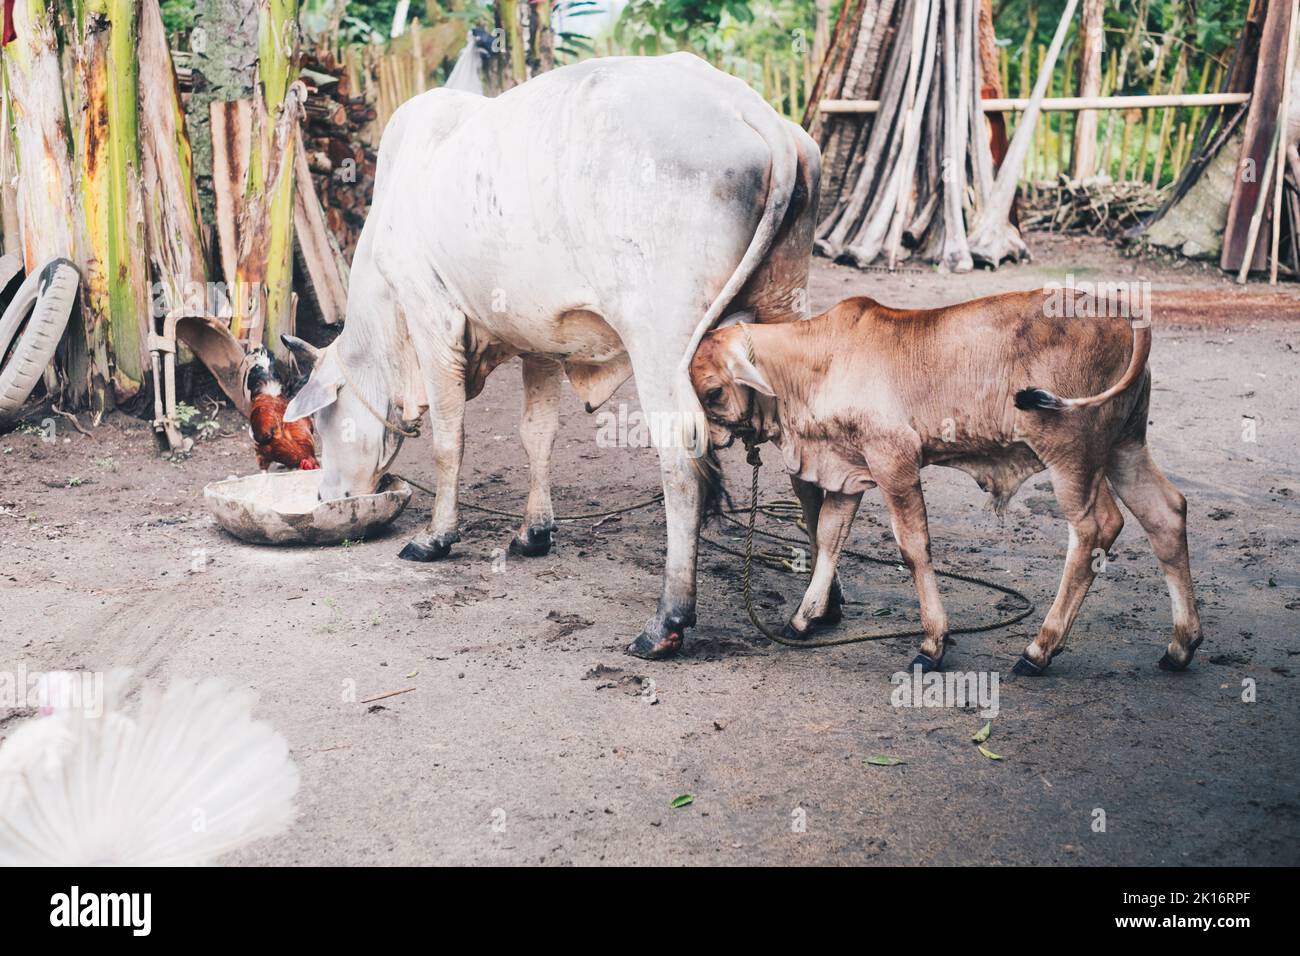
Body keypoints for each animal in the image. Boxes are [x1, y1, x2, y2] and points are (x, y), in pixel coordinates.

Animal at [280, 54, 821, 660]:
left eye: (321, 422)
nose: (326, 496)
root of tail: (750, 109)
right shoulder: (537, 338)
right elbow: (536, 434)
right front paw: (534, 531)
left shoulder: (432, 318)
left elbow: (448, 441)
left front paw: (437, 537)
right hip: (785, 315)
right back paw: (818, 610)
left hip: (663, 341)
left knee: (683, 464)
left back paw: (667, 620)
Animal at [688, 291, 1204, 676]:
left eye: (712, 392)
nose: (706, 440)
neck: (816, 363)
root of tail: (1120, 311)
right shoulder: (848, 473)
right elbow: (830, 539)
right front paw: (803, 617)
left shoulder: (894, 461)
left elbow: (913, 548)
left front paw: (933, 643)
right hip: (1124, 446)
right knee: (1165, 513)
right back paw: (1181, 645)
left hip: (1071, 454)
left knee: (1097, 528)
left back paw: (1039, 650)